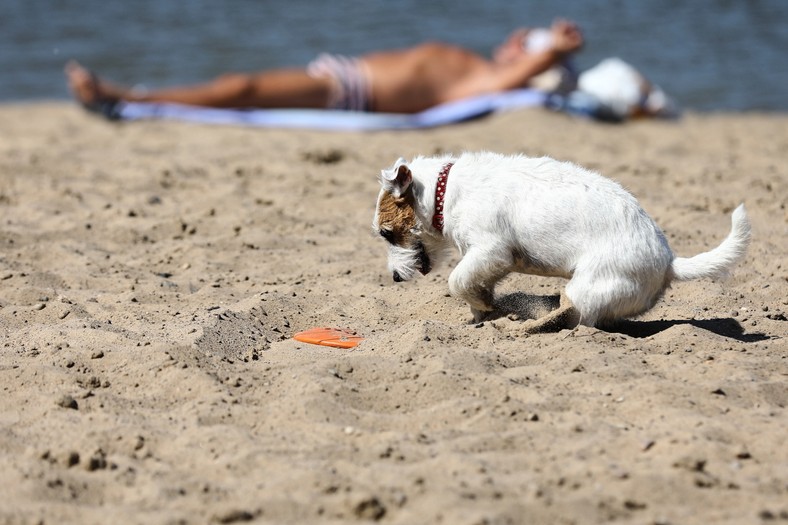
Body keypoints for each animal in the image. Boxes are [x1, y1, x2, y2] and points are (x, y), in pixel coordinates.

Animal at [372, 151, 756, 330]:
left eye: (386, 233)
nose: (394, 278)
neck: (445, 191)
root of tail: (669, 261)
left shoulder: (491, 250)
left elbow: (457, 280)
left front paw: (483, 307)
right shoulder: (486, 261)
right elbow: (474, 286)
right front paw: (482, 312)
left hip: (589, 287)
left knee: (577, 315)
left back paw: (540, 325)